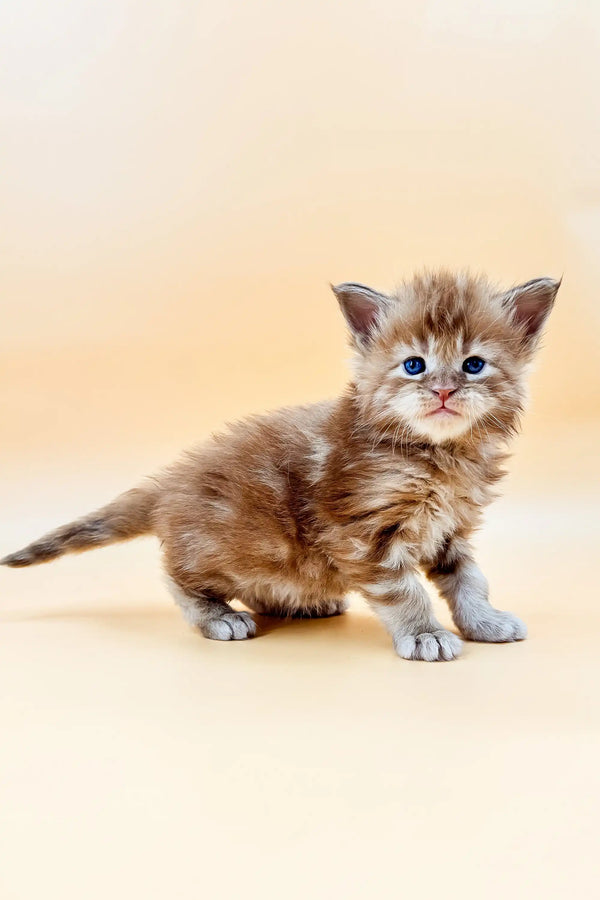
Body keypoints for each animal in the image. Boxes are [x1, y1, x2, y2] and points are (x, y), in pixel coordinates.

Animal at [0, 270, 556, 656]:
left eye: (473, 365)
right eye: (414, 365)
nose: (442, 391)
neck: (437, 456)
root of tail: (172, 482)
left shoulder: (450, 529)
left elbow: (469, 580)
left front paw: (485, 621)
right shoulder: (363, 531)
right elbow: (404, 590)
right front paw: (423, 634)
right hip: (224, 544)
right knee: (179, 576)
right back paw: (216, 615)